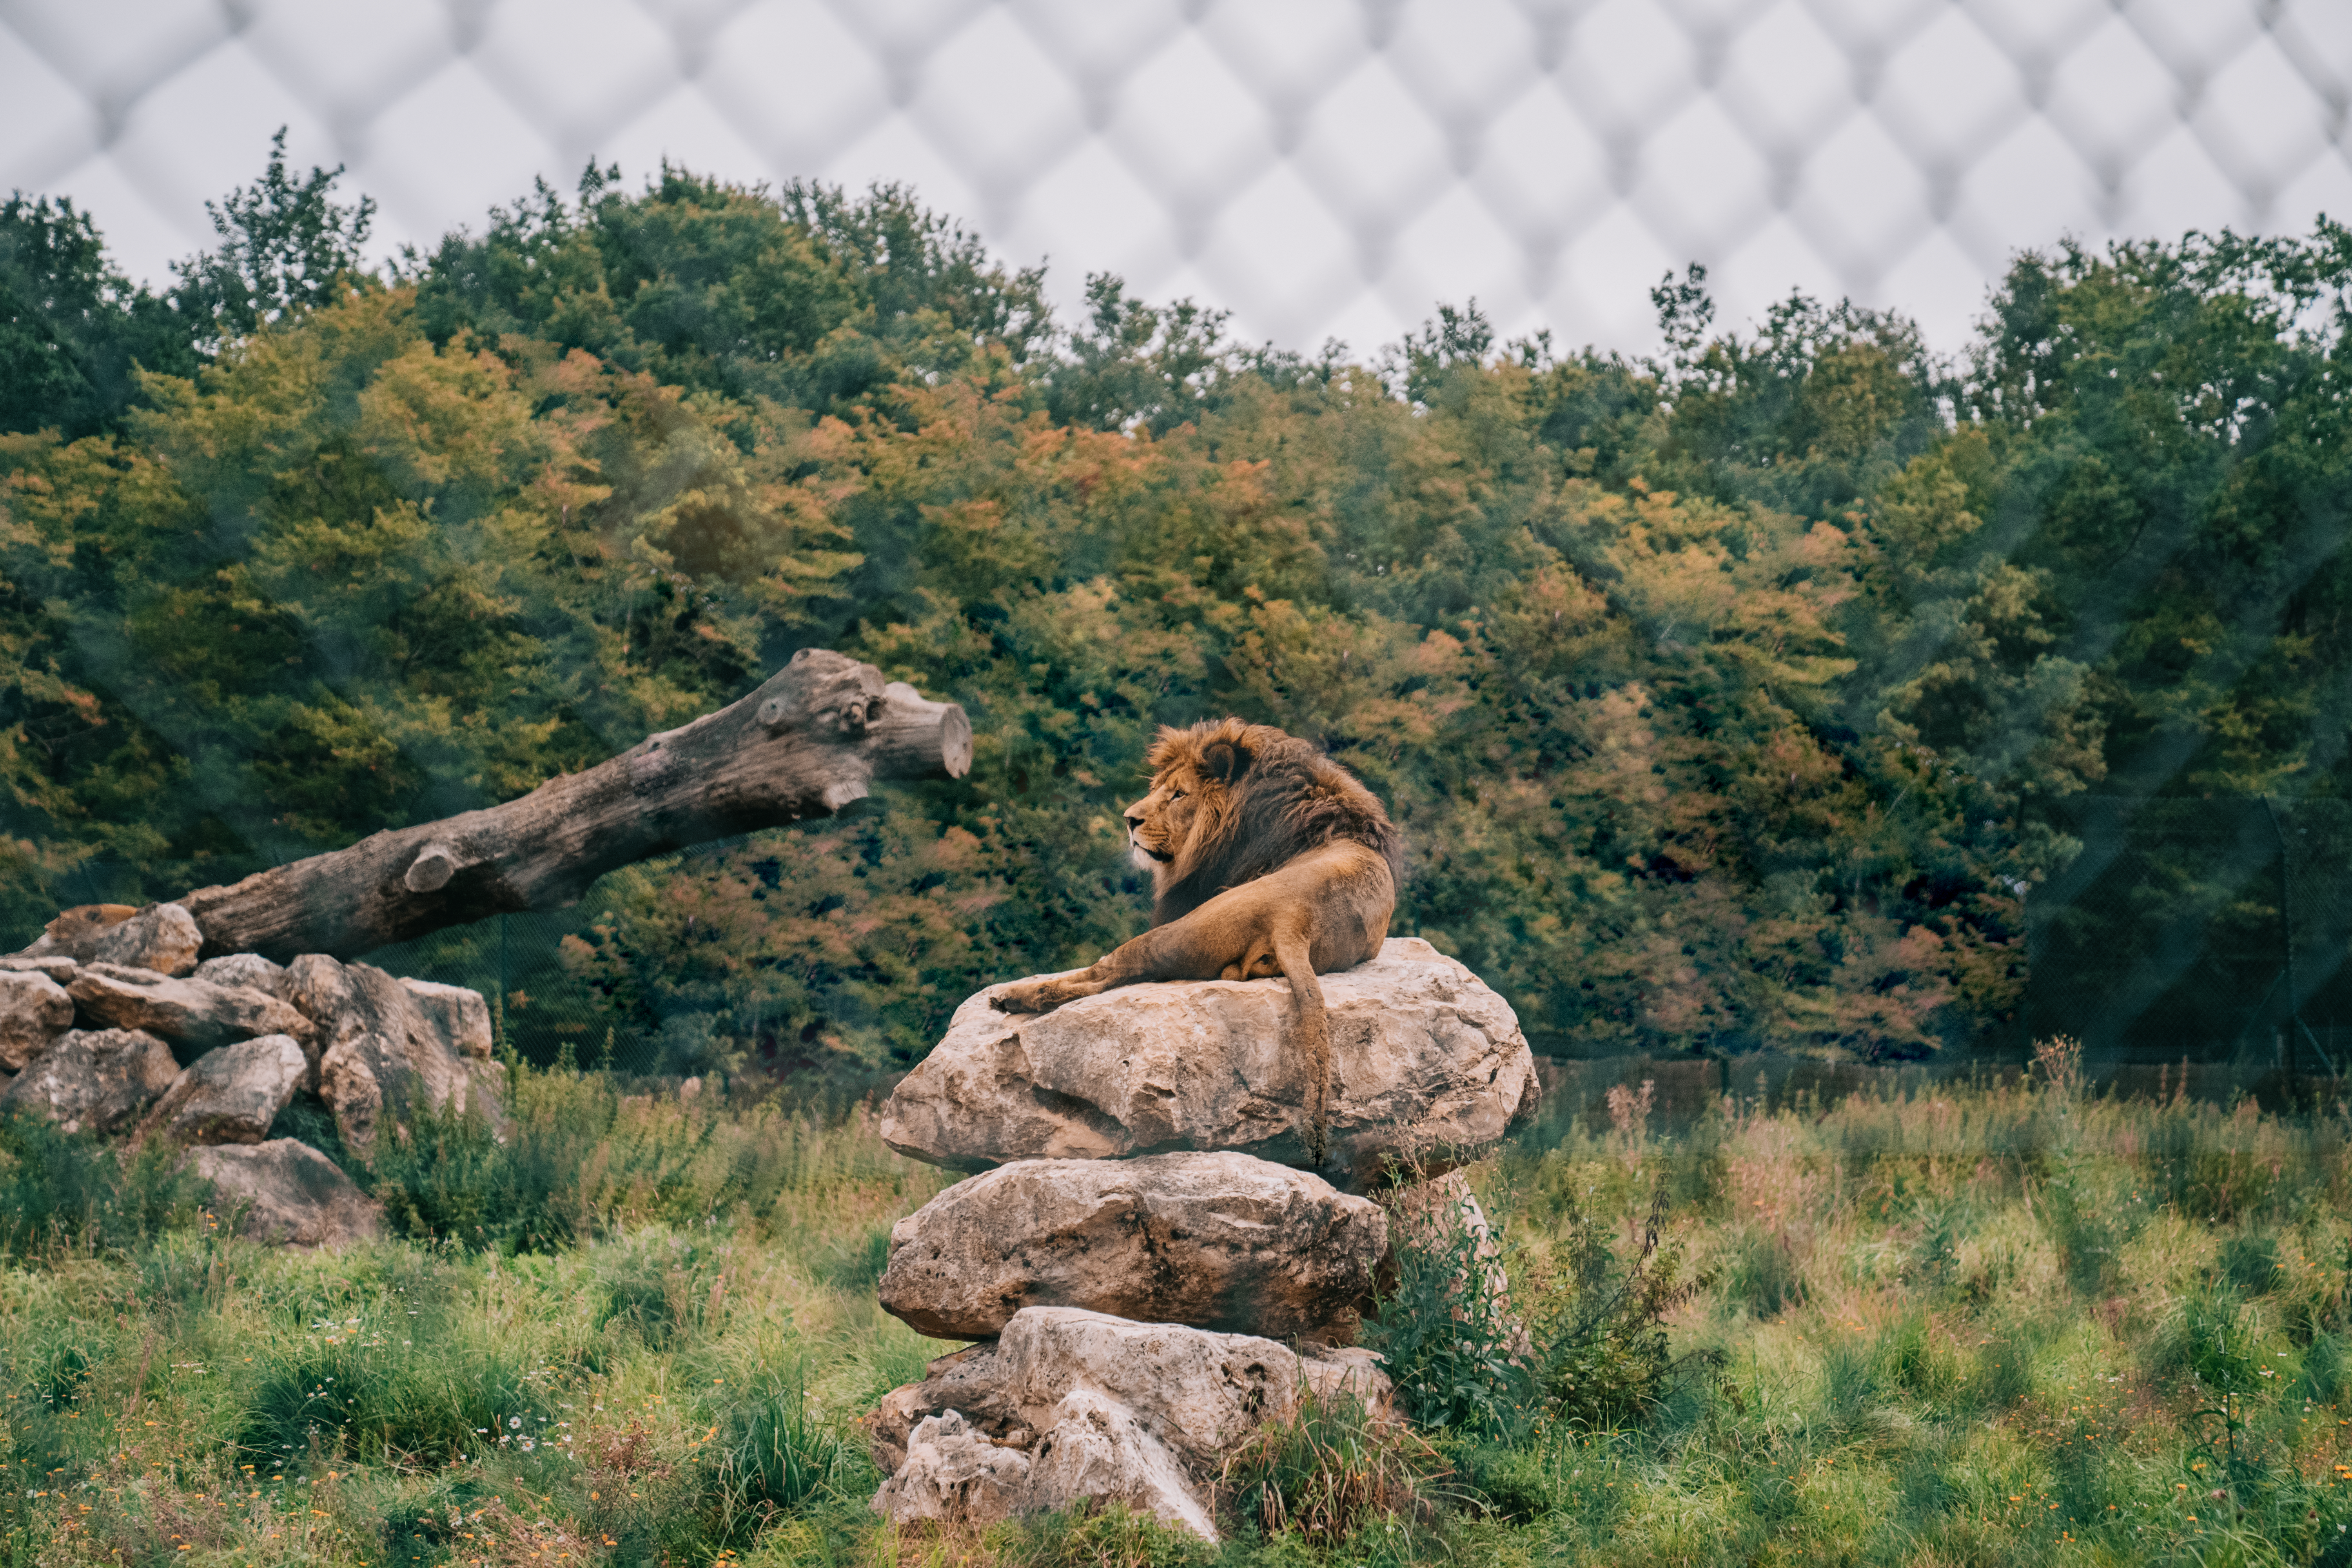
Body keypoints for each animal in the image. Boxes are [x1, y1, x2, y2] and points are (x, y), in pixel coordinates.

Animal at [991, 718, 1403, 1165]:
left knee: (1107, 971)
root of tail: (1294, 919)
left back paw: (1011, 997)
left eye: (1179, 794)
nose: (1129, 820)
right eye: (1158, 788)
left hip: (1180, 929)